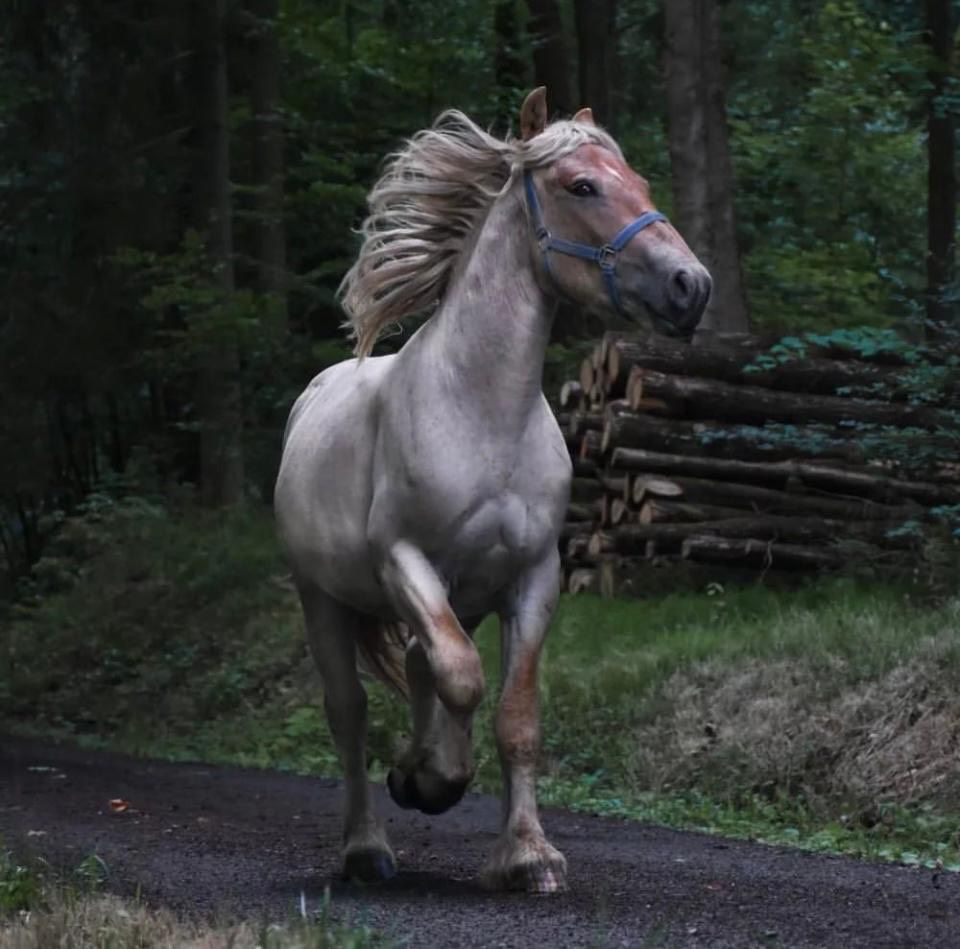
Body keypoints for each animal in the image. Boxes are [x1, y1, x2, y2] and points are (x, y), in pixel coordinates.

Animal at [274, 85, 708, 892]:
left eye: (639, 182)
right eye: (582, 186)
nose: (689, 286)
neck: (482, 411)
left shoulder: (533, 579)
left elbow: (513, 714)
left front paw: (528, 854)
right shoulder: (406, 561)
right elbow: (462, 679)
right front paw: (430, 780)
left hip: (463, 597)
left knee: (422, 666)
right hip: (325, 600)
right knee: (351, 712)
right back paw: (368, 846)